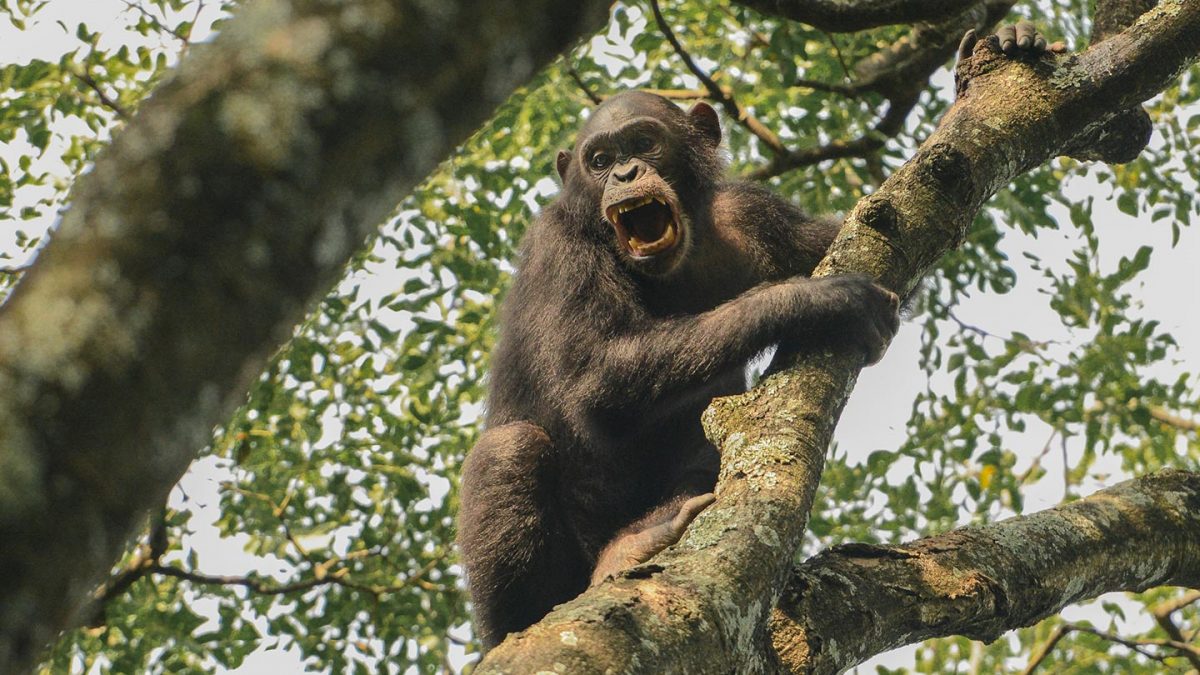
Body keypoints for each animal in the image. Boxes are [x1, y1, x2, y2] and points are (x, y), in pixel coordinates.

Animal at [458, 24, 1058, 650]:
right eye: (599, 159)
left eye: (643, 143)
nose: (623, 174)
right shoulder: (558, 246)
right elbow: (591, 379)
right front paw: (816, 300)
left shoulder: (756, 213)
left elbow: (871, 225)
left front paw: (994, 54)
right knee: (510, 451)